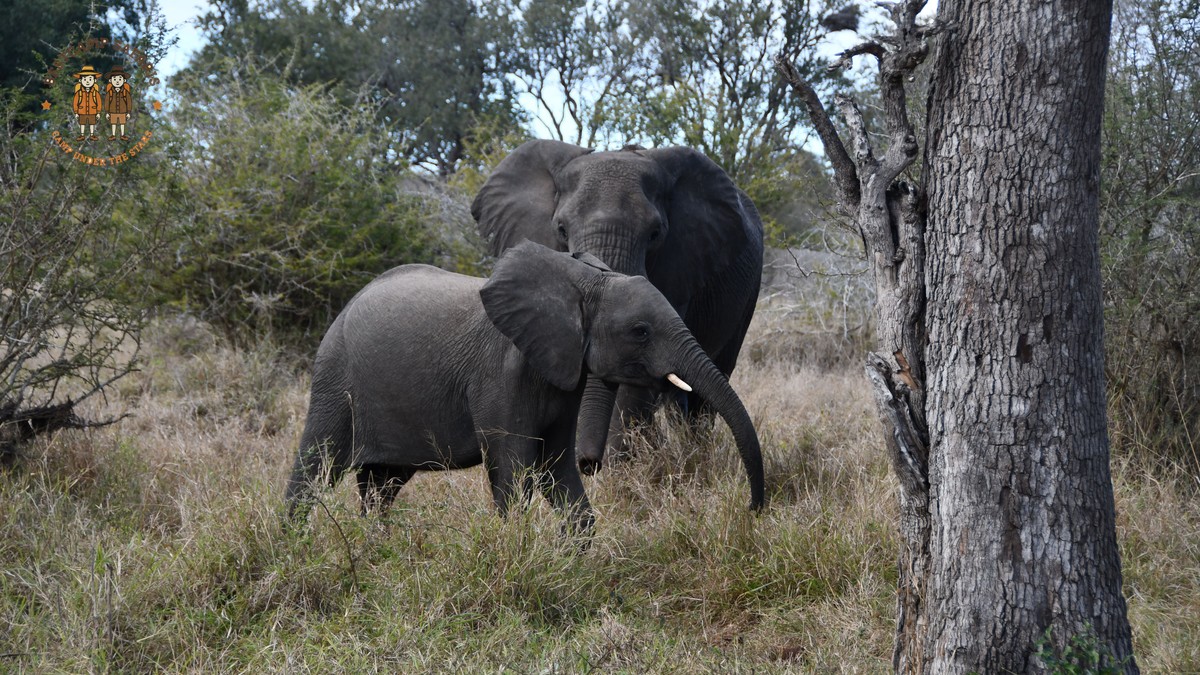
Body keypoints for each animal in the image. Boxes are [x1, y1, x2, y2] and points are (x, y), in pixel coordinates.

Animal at [285, 241, 765, 531]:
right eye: (641, 331)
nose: (753, 511)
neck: (581, 280)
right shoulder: (500, 373)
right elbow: (514, 470)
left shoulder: (563, 373)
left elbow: (557, 467)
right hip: (335, 378)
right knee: (314, 467)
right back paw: (295, 547)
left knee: (382, 484)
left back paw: (374, 546)